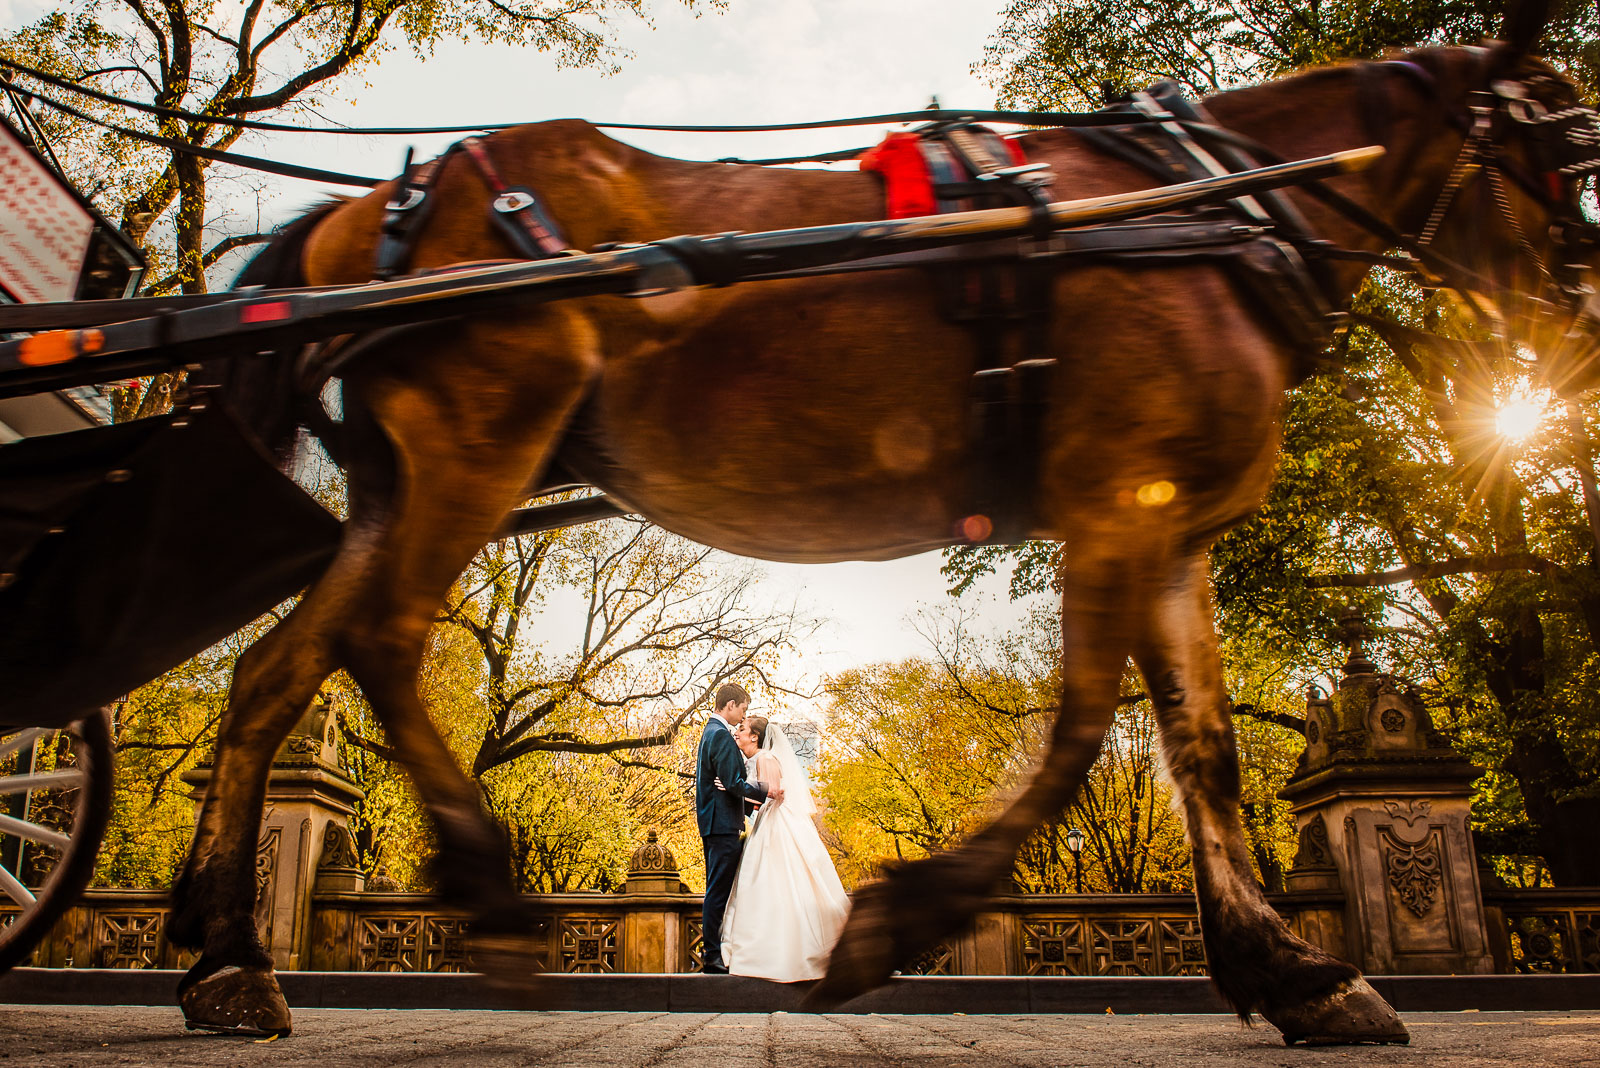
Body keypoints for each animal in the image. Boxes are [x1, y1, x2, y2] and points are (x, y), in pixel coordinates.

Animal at [165, 35, 1600, 1042]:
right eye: (1568, 147)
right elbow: (1080, 730)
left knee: (276, 674)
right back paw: (487, 898)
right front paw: (902, 915)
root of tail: (375, 210)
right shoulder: (1110, 503)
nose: (1575, 302)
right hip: (480, 442)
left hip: (406, 480)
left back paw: (228, 957)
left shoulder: (1169, 527)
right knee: (387, 640)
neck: (1213, 206)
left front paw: (1292, 970)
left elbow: (1201, 749)